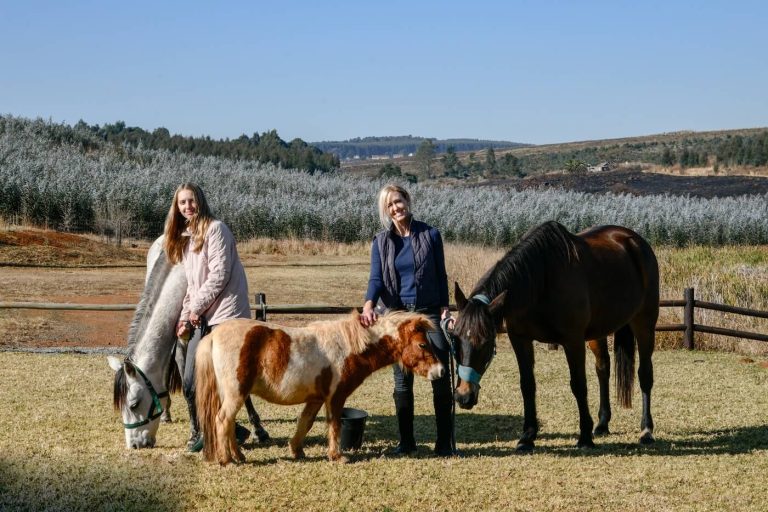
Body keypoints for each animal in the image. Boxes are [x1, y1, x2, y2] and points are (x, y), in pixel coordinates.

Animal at [107, 236, 269, 448]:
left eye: (134, 405)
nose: (135, 445)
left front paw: (258, 430)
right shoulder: (181, 343)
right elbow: (187, 389)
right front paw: (195, 433)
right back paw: (167, 414)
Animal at [195, 311, 445, 465]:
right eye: (422, 344)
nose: (441, 371)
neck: (349, 347)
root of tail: (214, 335)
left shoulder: (316, 398)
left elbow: (305, 423)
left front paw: (297, 450)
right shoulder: (335, 397)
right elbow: (334, 425)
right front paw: (337, 456)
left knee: (228, 424)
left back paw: (238, 456)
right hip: (235, 394)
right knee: (222, 420)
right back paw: (227, 460)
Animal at [452, 221, 659, 452]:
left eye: (485, 342)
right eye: (455, 338)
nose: (463, 396)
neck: (541, 281)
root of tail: (633, 240)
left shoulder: (573, 341)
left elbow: (579, 385)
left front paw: (584, 436)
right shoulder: (520, 339)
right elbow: (527, 385)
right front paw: (527, 437)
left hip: (644, 323)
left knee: (645, 374)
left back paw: (646, 430)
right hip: (598, 332)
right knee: (603, 369)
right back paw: (602, 424)